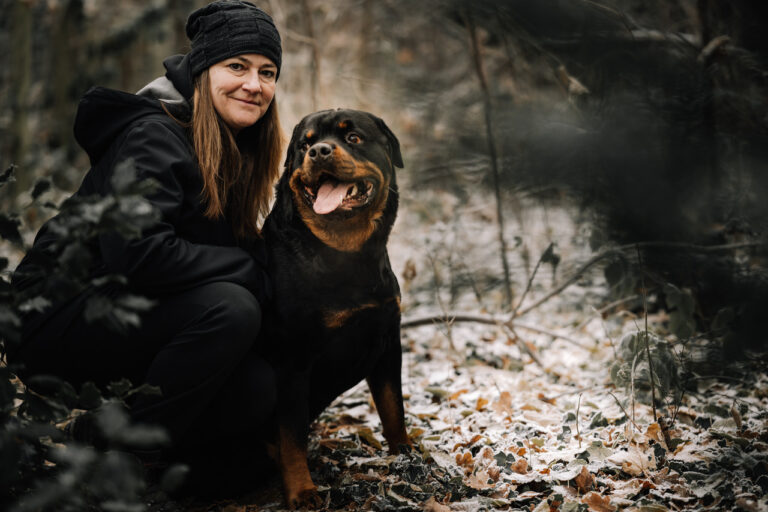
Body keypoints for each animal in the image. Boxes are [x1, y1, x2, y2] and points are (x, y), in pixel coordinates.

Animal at [260, 109, 412, 508]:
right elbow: (291, 436)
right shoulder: (292, 360)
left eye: (353, 138)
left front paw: (405, 454)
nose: (320, 151)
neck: (346, 255)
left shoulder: (388, 340)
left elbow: (393, 407)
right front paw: (302, 490)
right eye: (305, 144)